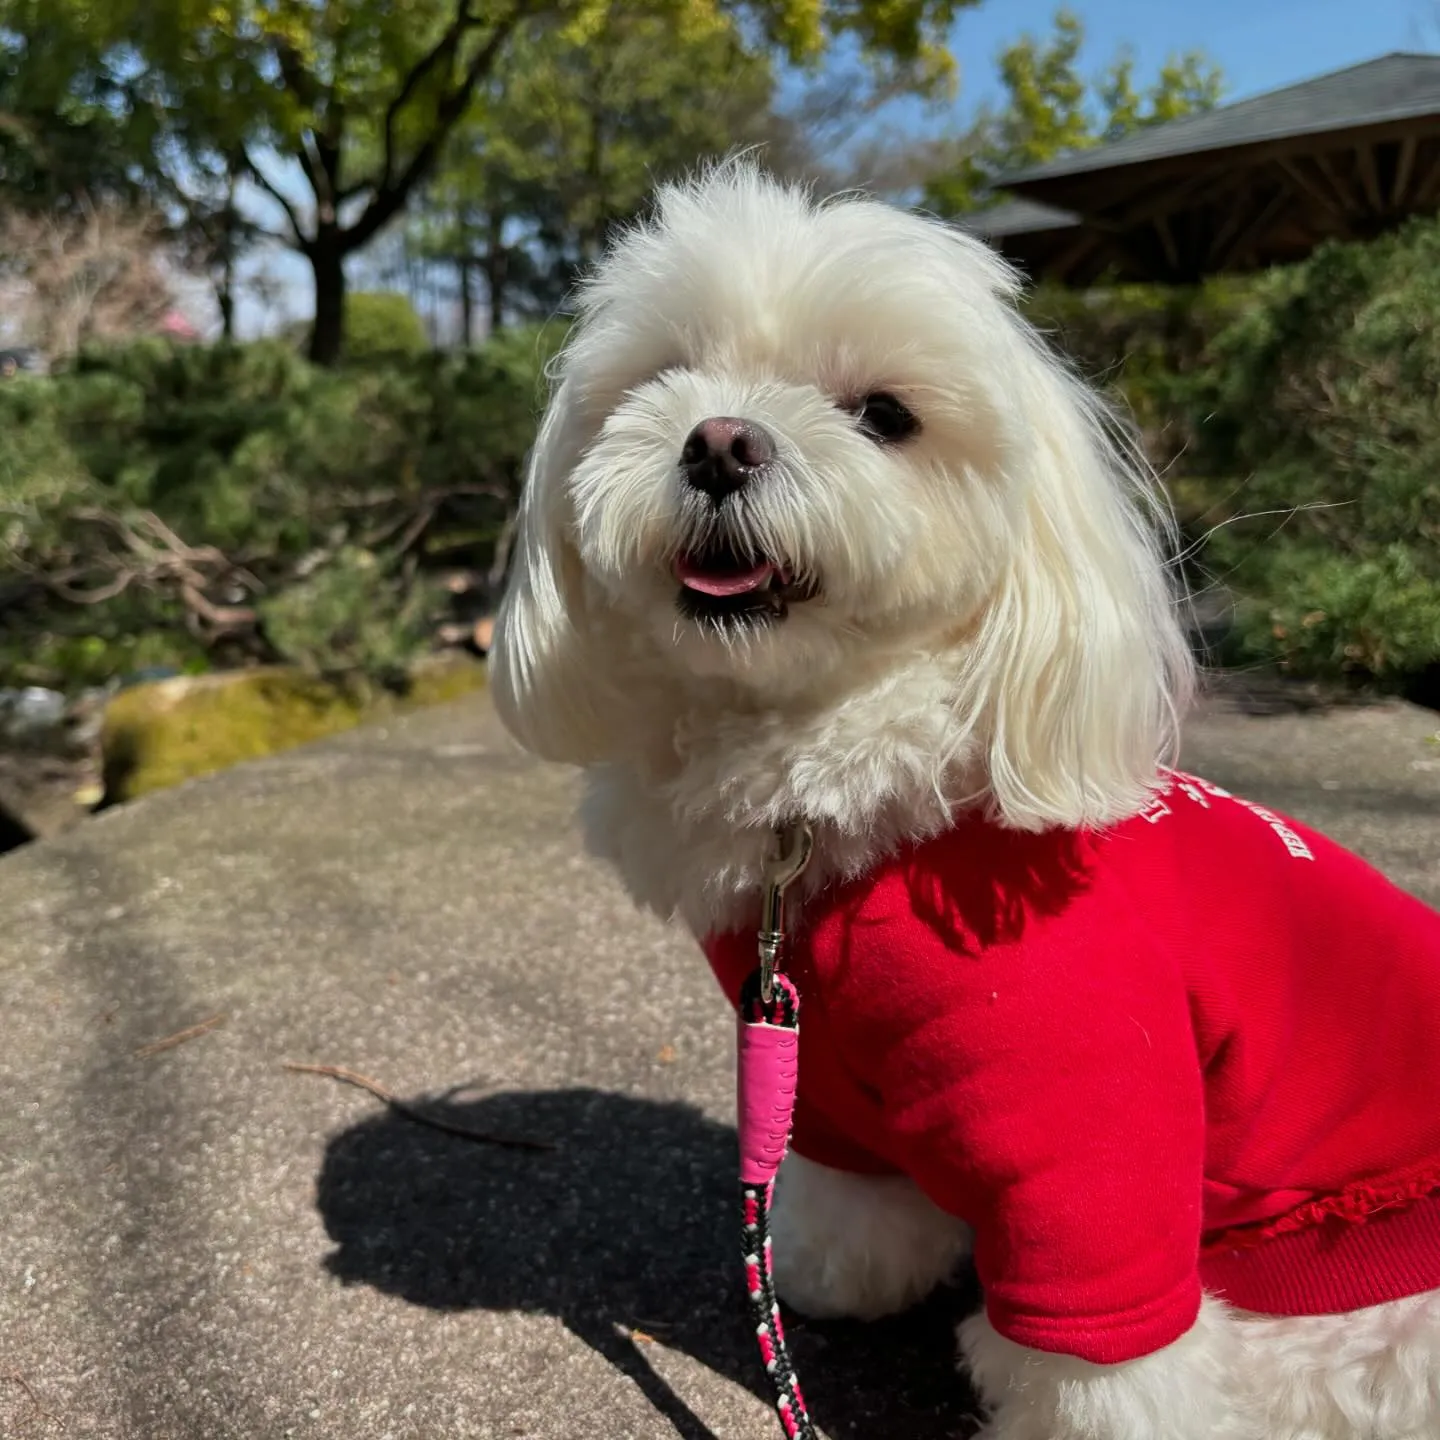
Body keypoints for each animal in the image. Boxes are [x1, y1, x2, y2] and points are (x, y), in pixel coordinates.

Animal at [489, 163, 1440, 1434]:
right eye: (665, 378)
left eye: (885, 415)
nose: (720, 442)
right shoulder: (816, 1072)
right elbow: (847, 1190)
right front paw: (830, 1276)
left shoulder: (1093, 1131)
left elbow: (1107, 1360)